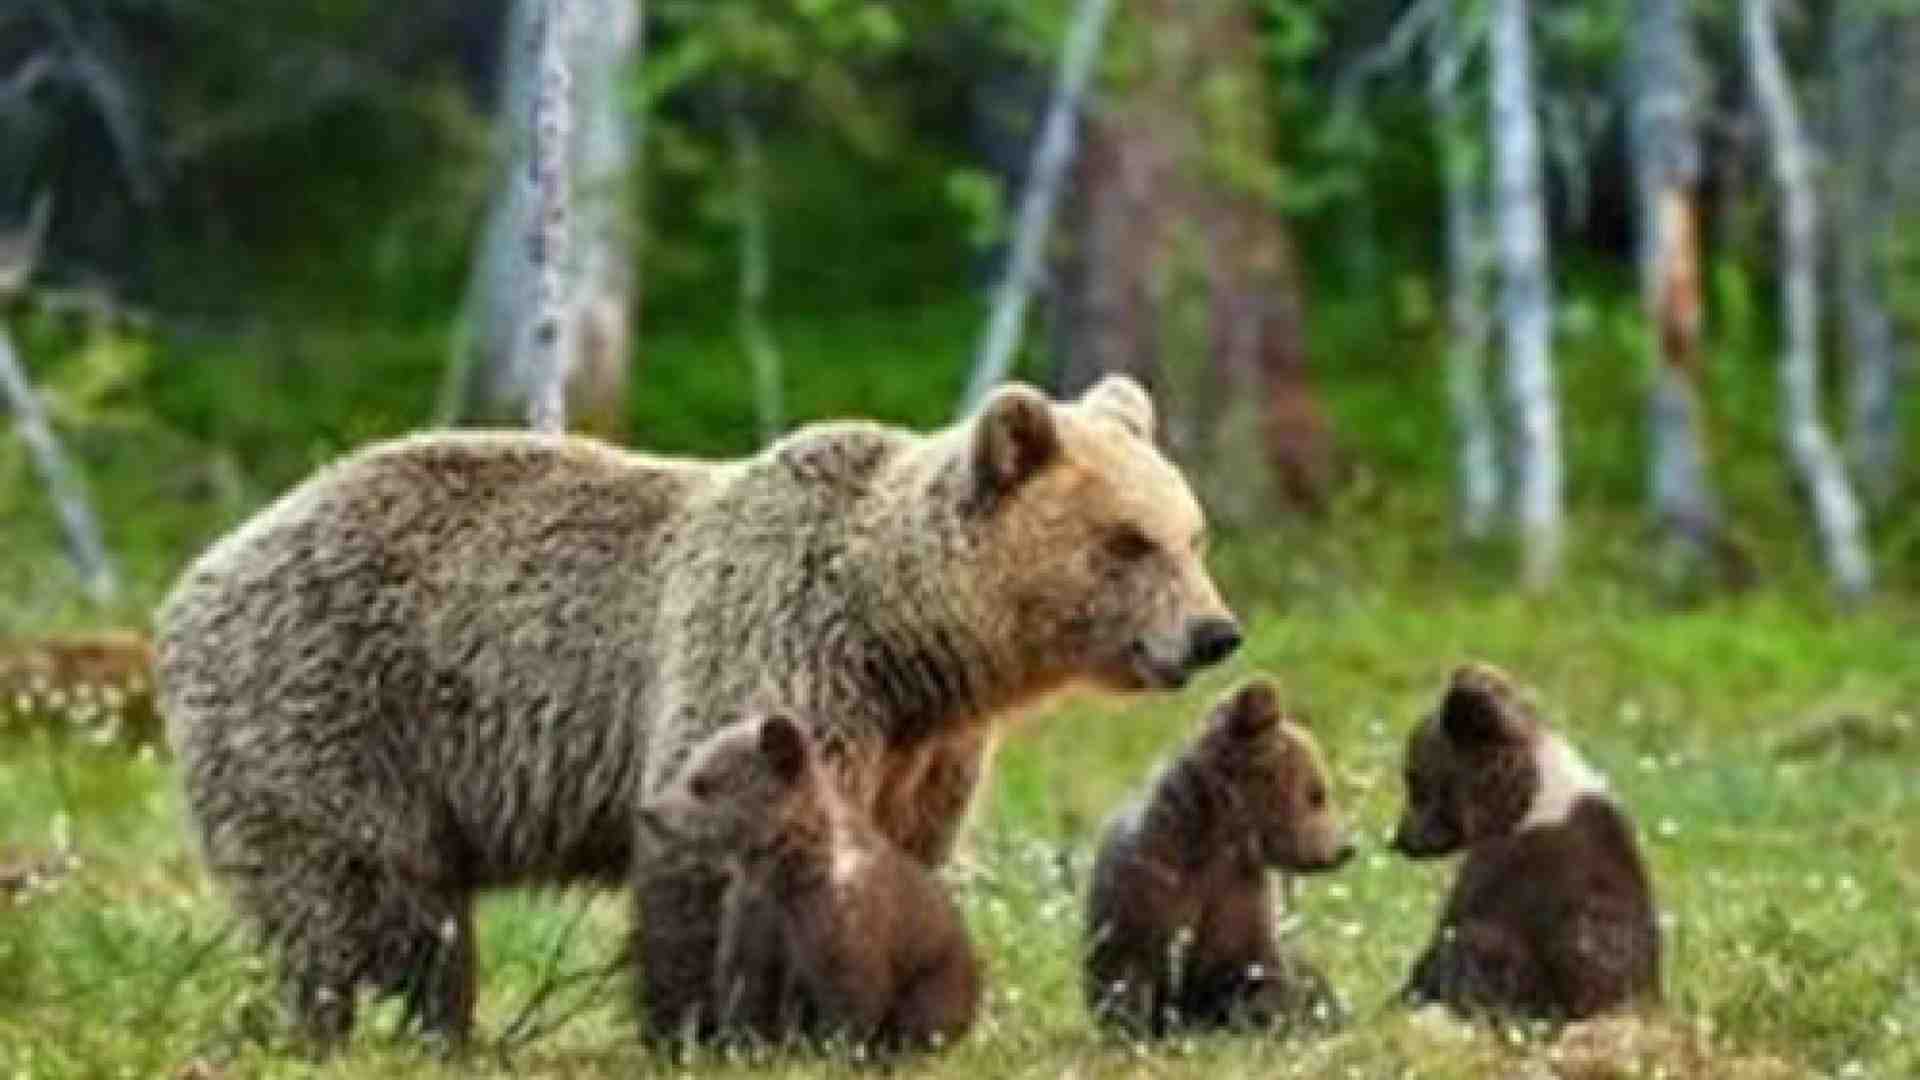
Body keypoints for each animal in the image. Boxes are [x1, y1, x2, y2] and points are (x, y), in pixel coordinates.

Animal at [639, 712, 979, 1052]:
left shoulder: (840, 926)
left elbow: (852, 999)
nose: (648, 811)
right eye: (687, 767)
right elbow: (745, 994)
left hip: (937, 976)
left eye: (702, 784)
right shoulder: (753, 922)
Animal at [1084, 677, 1352, 1036]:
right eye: (1317, 793)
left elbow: (1262, 974)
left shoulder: (1243, 903)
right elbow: (1128, 977)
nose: (1345, 849)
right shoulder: (1146, 892)